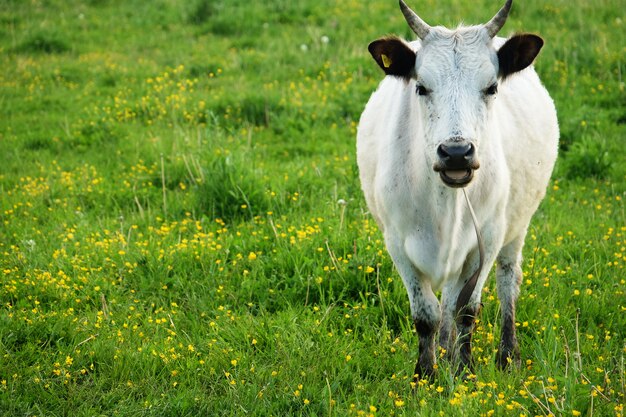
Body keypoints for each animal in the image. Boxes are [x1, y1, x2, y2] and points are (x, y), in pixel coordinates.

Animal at [356, 0, 556, 376]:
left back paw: (507, 355)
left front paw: (465, 371)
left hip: (517, 226)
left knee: (507, 282)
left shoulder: (487, 238)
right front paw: (426, 374)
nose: (456, 153)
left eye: (491, 87)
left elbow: (468, 310)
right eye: (421, 87)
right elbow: (426, 314)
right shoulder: (397, 241)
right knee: (447, 300)